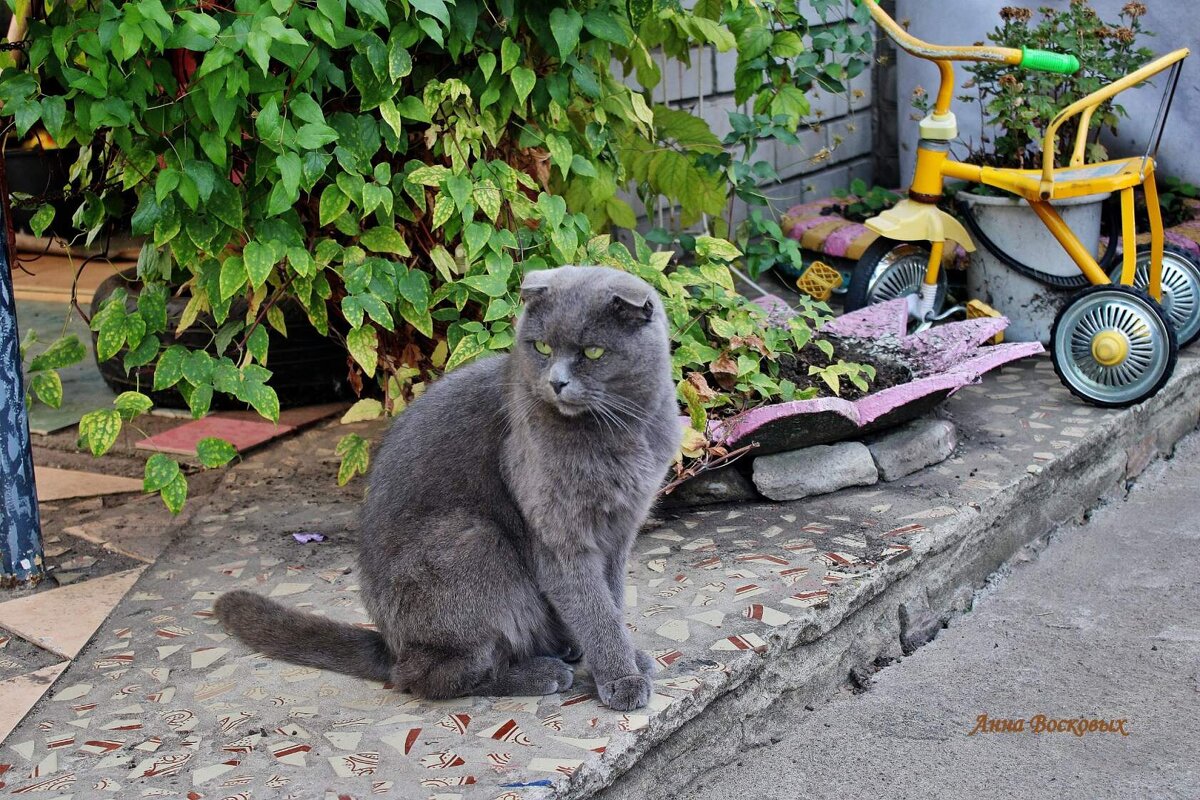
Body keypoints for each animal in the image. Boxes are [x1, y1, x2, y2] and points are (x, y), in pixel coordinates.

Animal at [216, 266, 681, 710]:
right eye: (542, 348)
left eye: (592, 352)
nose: (556, 382)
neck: (622, 428)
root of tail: (390, 644)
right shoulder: (560, 536)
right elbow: (595, 609)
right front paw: (621, 677)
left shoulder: (620, 529)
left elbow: (612, 598)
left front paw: (626, 657)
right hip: (472, 541)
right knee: (427, 677)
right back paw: (539, 673)